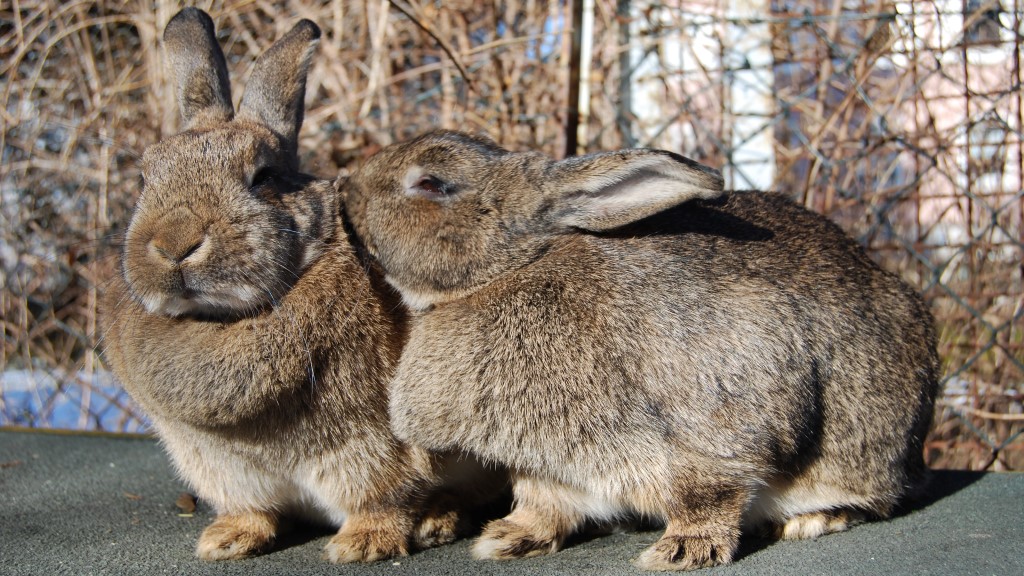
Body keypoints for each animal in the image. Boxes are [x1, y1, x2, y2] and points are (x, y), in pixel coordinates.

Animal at [100, 10, 502, 563]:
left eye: (263, 176)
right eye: (145, 176)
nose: (175, 245)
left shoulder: (372, 447)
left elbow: (388, 495)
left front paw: (363, 543)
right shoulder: (221, 466)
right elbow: (252, 509)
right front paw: (226, 540)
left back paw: (437, 522)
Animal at [339, 129, 940, 571]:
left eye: (432, 183)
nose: (345, 187)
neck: (509, 270)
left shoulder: (716, 425)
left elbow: (710, 493)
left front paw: (682, 551)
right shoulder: (546, 466)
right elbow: (543, 504)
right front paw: (507, 539)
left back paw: (809, 521)